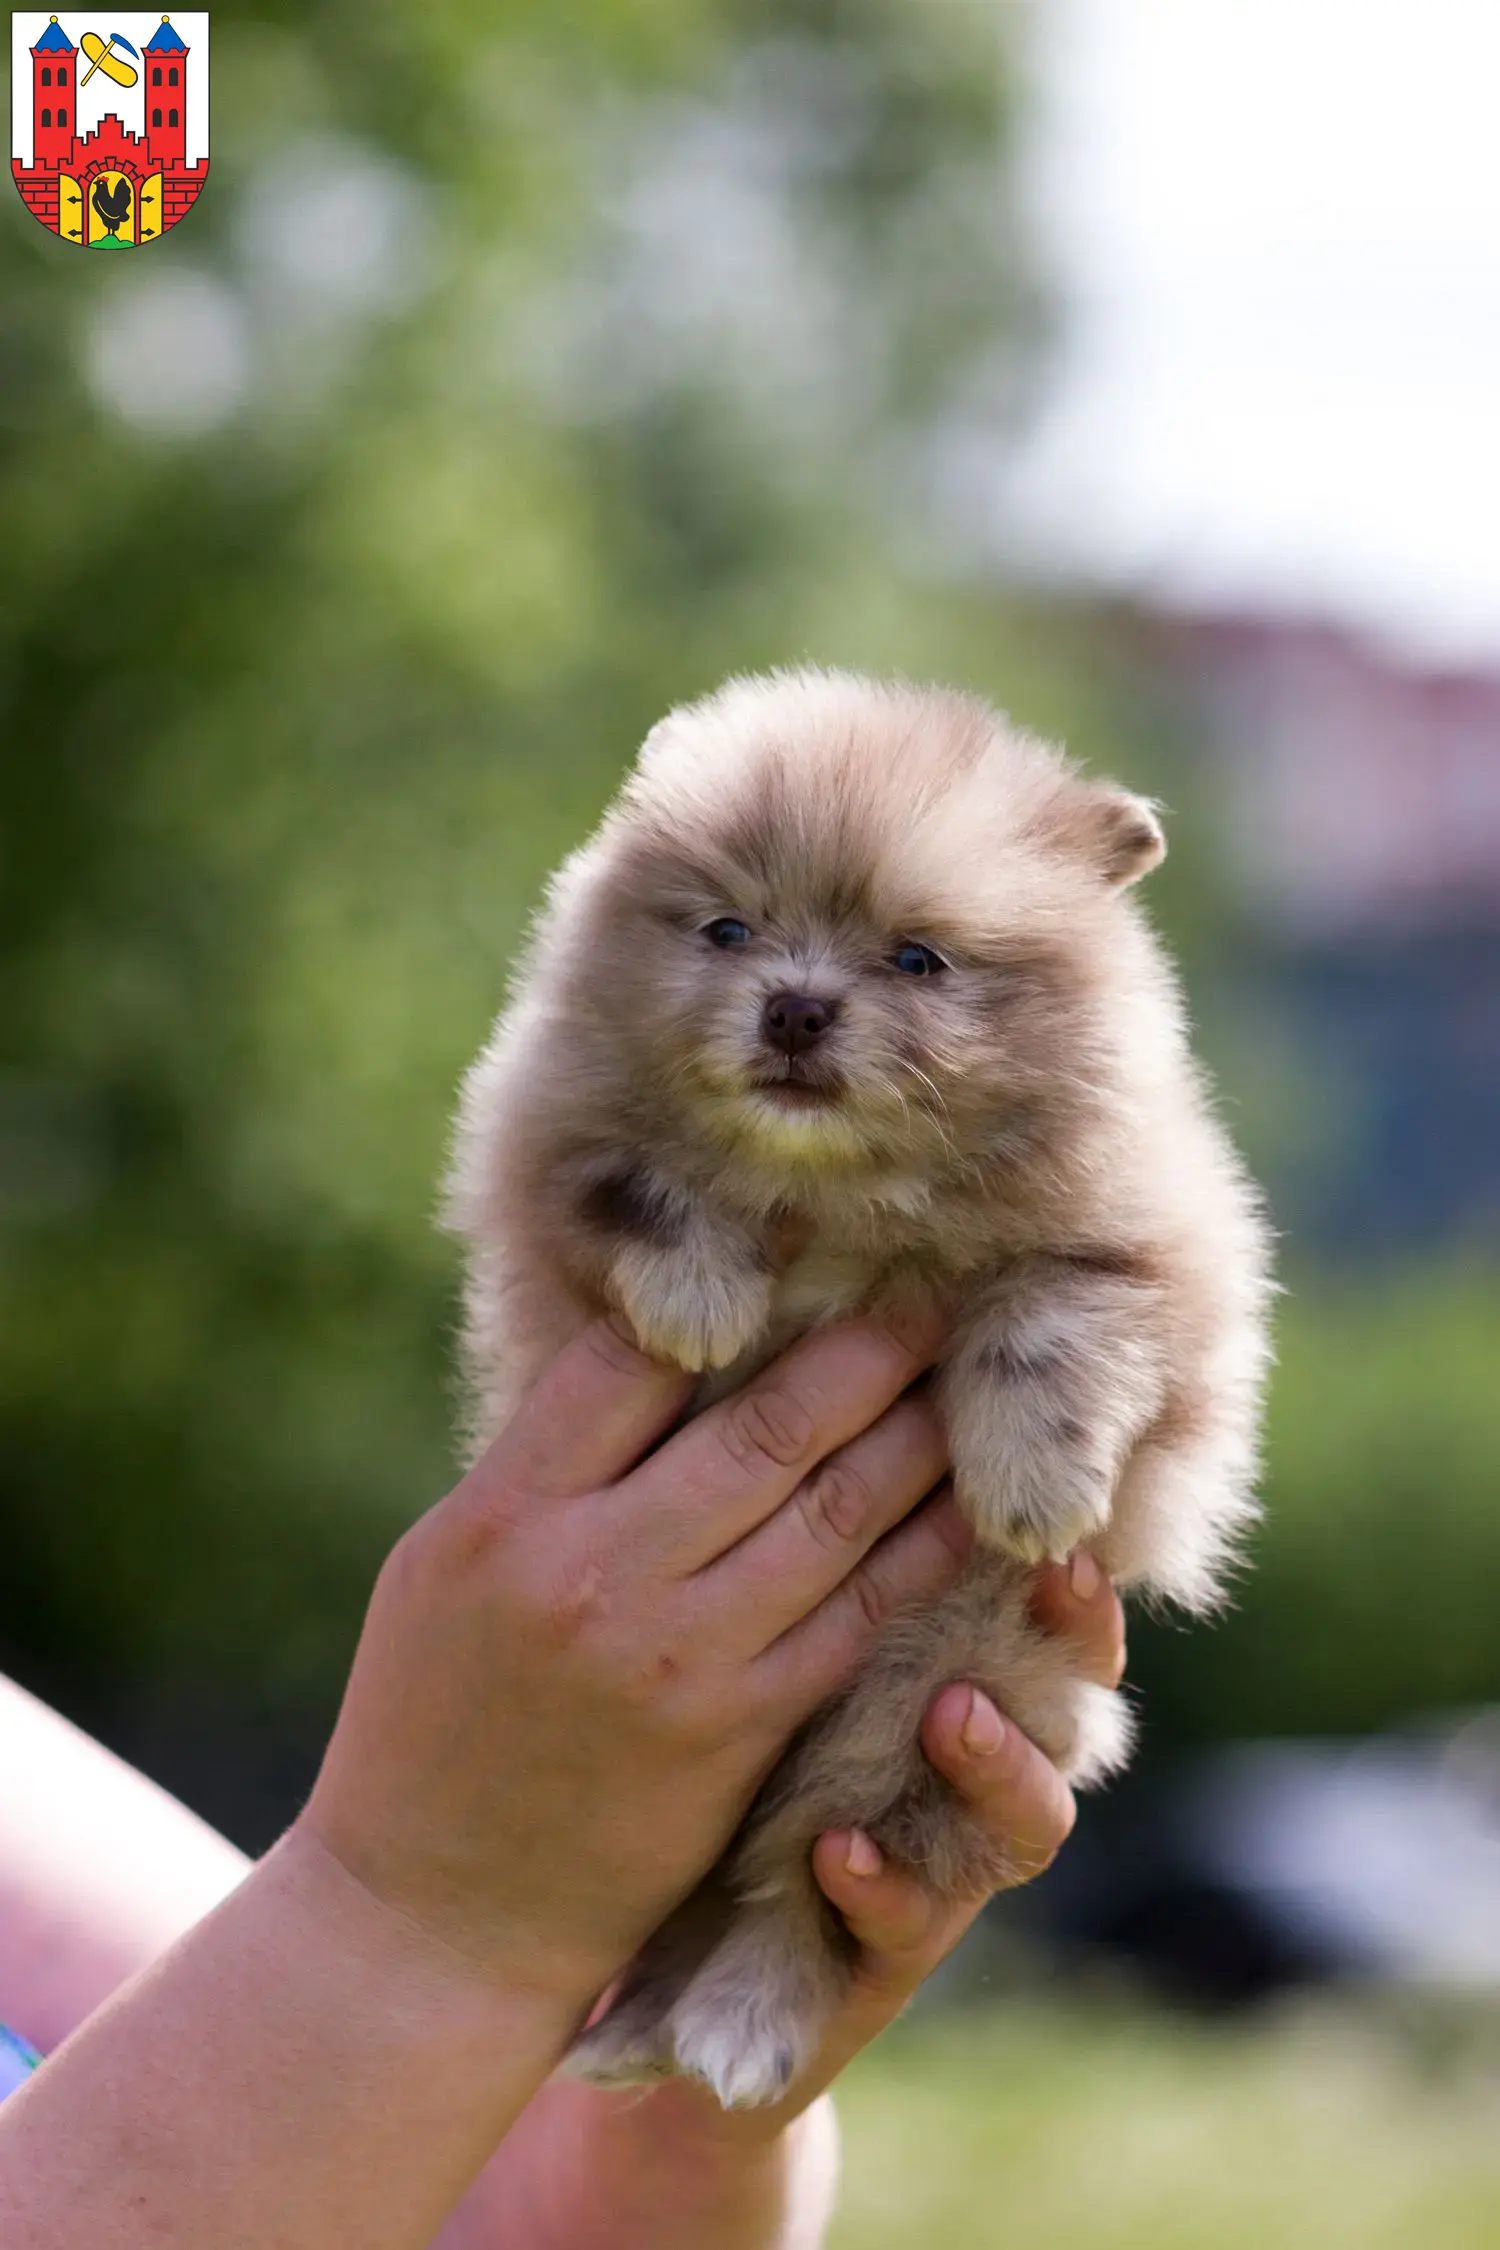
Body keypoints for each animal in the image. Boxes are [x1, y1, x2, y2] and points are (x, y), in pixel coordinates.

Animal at [440, 666, 1277, 2106]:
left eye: (918, 958)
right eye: (727, 928)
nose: (794, 1007)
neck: (834, 1189)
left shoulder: (1151, 1243)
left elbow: (1050, 1321)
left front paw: (1033, 1489)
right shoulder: (544, 1133)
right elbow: (638, 1182)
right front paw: (701, 1300)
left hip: (930, 1694)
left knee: (794, 1883)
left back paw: (735, 2021)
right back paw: (635, 2029)